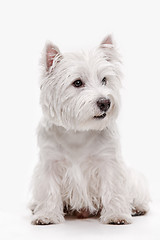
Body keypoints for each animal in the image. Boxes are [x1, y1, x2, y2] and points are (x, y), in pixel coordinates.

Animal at [29, 35, 150, 225]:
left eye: (104, 80)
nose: (105, 102)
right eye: (77, 83)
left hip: (135, 180)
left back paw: (137, 208)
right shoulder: (49, 163)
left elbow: (113, 189)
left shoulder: (109, 162)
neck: (78, 131)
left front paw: (117, 215)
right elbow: (49, 191)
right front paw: (46, 215)